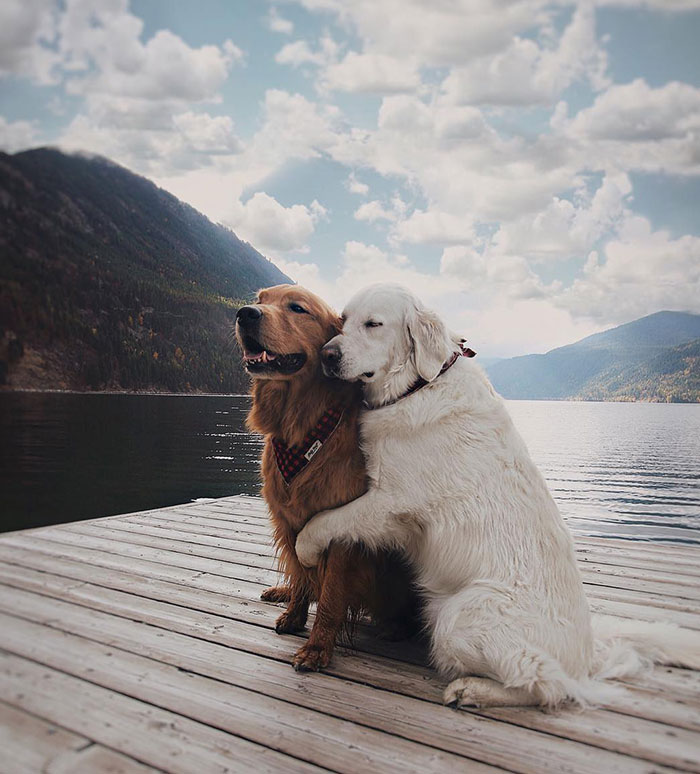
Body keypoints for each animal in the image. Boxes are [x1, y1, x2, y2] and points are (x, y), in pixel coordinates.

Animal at [235, 286, 422, 672]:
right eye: (260, 299)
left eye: (297, 308)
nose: (245, 313)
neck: (300, 430)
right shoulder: (289, 520)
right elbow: (300, 572)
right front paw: (294, 615)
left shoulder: (340, 531)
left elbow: (332, 593)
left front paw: (318, 647)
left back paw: (395, 626)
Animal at [296, 284, 700, 708]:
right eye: (343, 320)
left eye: (374, 324)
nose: (327, 354)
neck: (419, 385)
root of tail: (585, 656)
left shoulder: (390, 502)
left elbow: (325, 521)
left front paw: (305, 550)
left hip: (458, 617)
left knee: (547, 684)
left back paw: (470, 690)